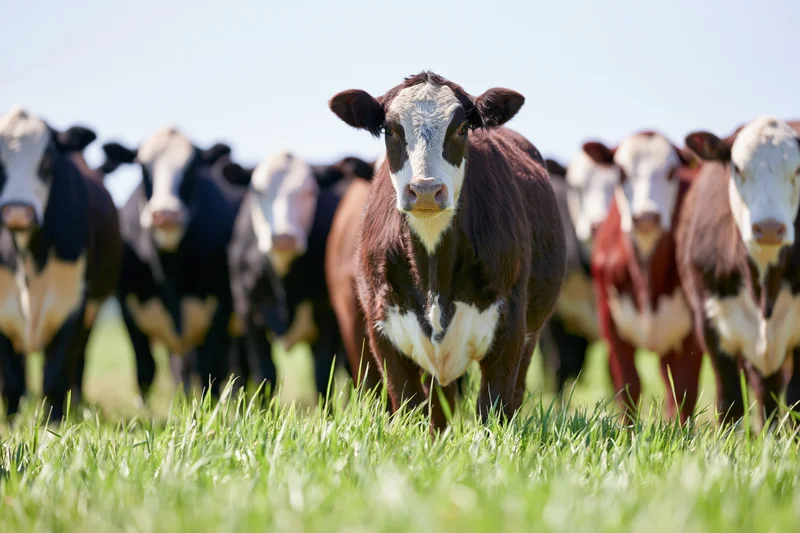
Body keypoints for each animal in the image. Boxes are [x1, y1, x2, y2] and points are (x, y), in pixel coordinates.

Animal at [0, 107, 122, 421]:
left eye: (47, 158)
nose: (17, 212)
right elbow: (12, 380)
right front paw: (11, 422)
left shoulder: (70, 302)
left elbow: (55, 374)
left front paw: (53, 421)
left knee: (78, 362)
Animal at [101, 127, 243, 402]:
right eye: (142, 165)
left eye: (192, 167)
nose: (165, 214)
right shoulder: (128, 310)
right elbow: (145, 370)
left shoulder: (221, 309)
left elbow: (211, 369)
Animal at [224, 152, 373, 401]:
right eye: (257, 191)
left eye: (310, 192)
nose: (284, 237)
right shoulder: (248, 311)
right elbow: (265, 372)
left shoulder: (327, 314)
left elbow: (322, 373)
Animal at [328, 71, 567, 431]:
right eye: (390, 129)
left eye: (462, 128)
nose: (425, 189)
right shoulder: (383, 331)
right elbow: (410, 406)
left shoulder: (509, 328)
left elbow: (494, 410)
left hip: (531, 330)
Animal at [588, 131, 702, 423]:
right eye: (620, 171)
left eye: (672, 171)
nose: (647, 216)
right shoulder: (609, 321)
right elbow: (628, 384)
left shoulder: (693, 332)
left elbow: (683, 389)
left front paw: (679, 431)